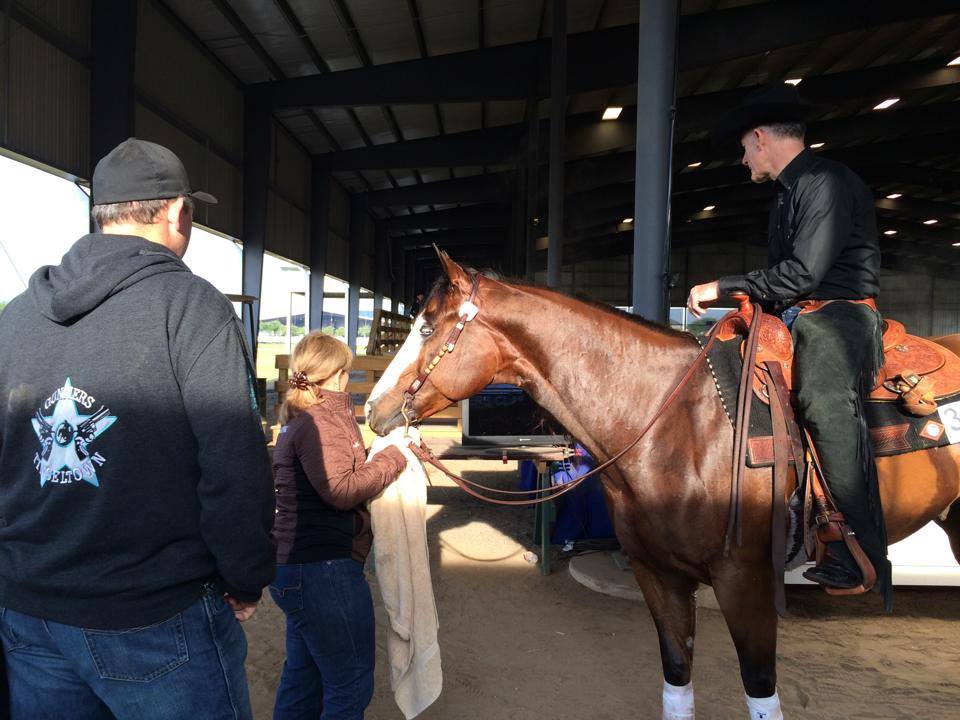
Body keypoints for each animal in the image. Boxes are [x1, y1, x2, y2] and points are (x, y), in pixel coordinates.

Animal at [366, 255, 960, 720]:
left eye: (426, 330)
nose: (373, 410)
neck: (678, 421)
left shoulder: (745, 582)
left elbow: (759, 689)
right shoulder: (659, 574)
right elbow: (677, 678)